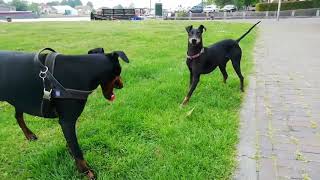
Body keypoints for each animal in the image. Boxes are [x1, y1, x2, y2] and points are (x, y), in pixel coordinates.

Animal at [0, 47, 130, 179]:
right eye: (118, 72)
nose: (122, 85)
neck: (84, 71)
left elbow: (71, 144)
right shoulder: (67, 121)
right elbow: (77, 149)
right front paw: (85, 171)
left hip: (19, 99)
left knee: (18, 116)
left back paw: (29, 134)